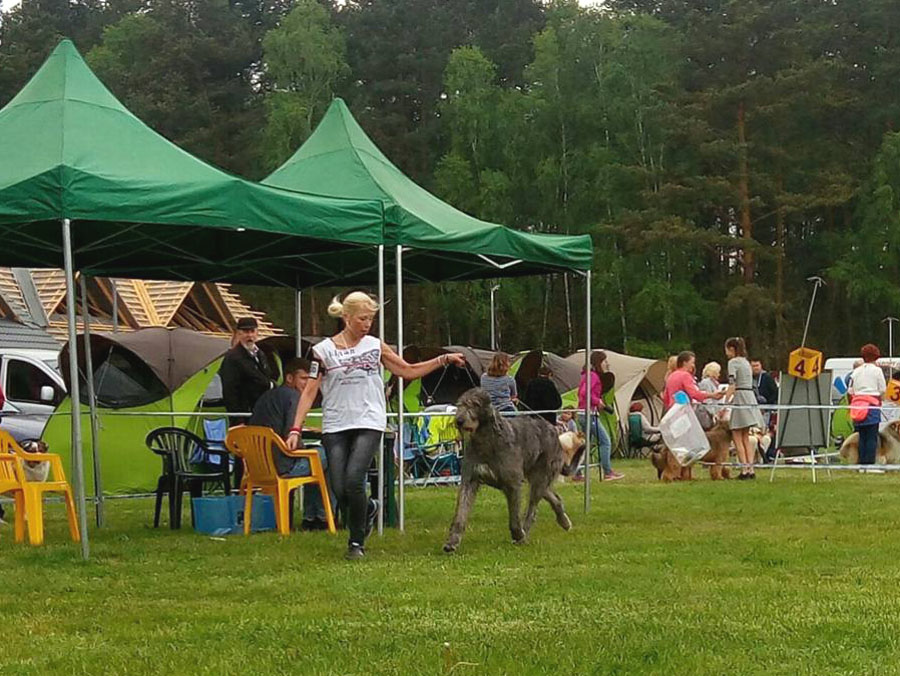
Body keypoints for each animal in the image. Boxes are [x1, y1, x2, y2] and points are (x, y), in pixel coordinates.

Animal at [442, 388, 568, 552]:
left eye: (475, 404)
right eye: (459, 404)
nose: (459, 421)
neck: (486, 440)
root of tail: (553, 428)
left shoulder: (513, 483)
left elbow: (514, 517)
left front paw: (518, 535)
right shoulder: (469, 479)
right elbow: (461, 512)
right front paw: (452, 542)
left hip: (541, 474)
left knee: (532, 508)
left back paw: (526, 531)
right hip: (536, 478)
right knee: (551, 495)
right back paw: (564, 521)